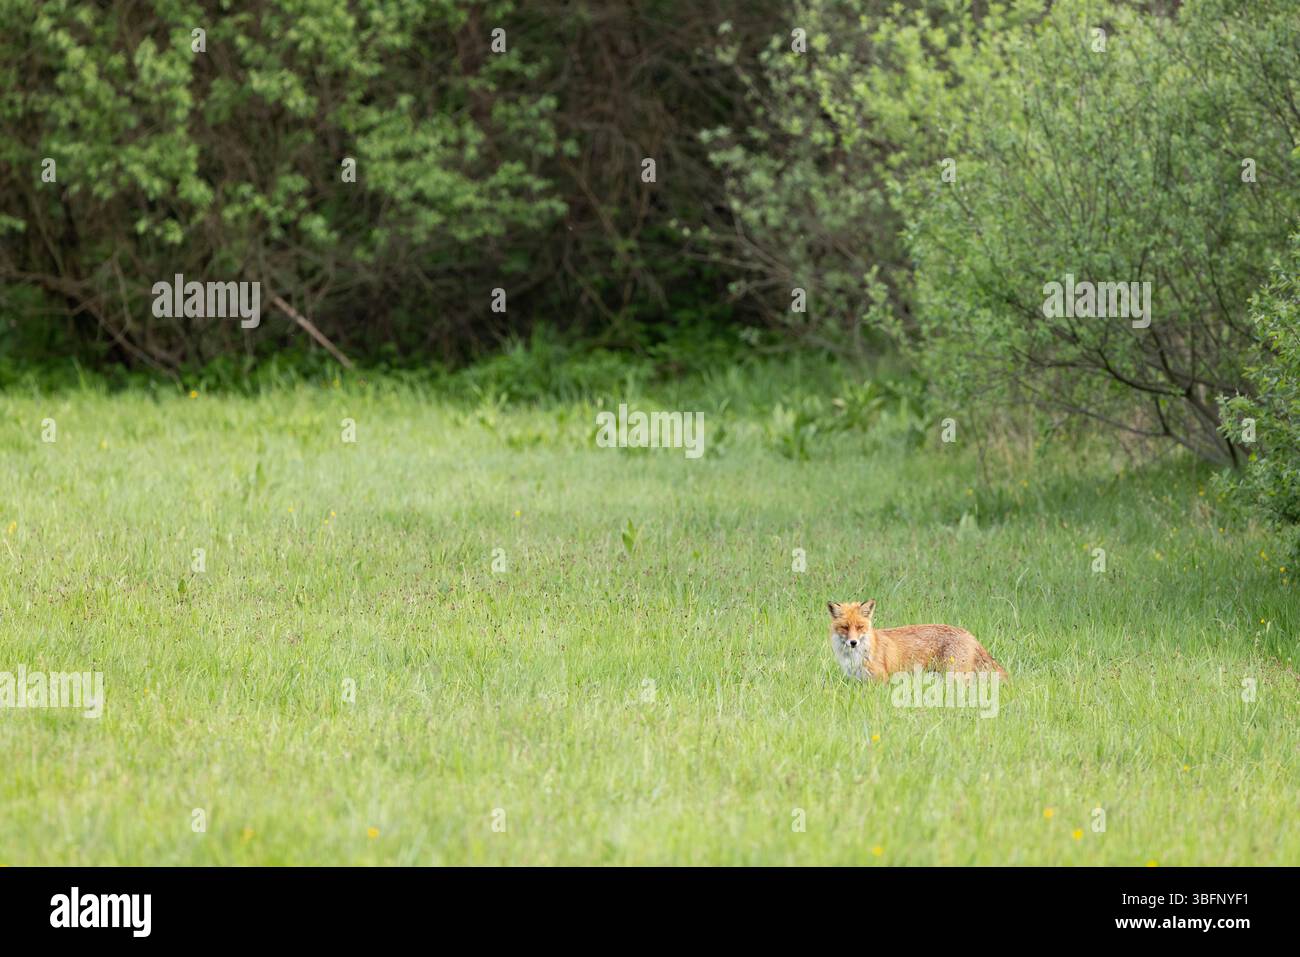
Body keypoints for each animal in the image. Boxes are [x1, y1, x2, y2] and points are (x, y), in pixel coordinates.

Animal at [828, 599, 1007, 683]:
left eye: (859, 627)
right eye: (845, 627)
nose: (853, 642)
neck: (855, 657)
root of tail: (969, 634)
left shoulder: (880, 679)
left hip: (954, 675)